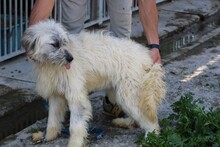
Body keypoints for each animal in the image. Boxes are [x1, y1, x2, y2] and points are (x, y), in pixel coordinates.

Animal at [21, 20, 165, 146]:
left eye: (64, 42)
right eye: (55, 44)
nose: (71, 58)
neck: (51, 66)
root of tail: (145, 55)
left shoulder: (76, 97)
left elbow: (76, 125)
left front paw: (74, 143)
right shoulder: (56, 95)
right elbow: (52, 119)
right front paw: (48, 136)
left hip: (128, 92)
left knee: (149, 120)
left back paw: (150, 138)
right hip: (120, 92)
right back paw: (125, 122)